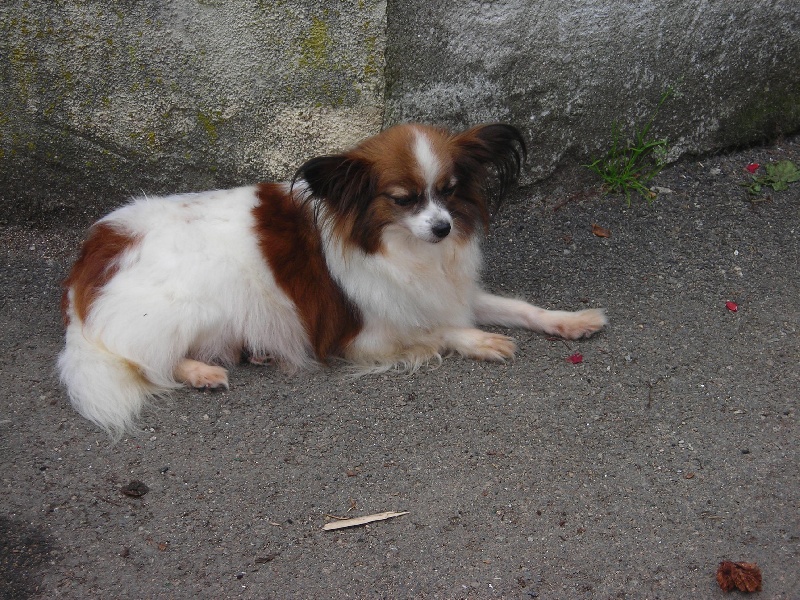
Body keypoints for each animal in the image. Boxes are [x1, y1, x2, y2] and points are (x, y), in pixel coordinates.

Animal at [57, 124, 608, 438]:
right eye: (404, 199)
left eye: (449, 192)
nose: (443, 227)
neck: (398, 249)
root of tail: (94, 253)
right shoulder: (363, 335)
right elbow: (437, 331)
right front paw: (482, 341)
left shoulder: (450, 295)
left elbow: (520, 308)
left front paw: (571, 320)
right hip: (188, 308)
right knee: (145, 362)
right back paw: (201, 371)